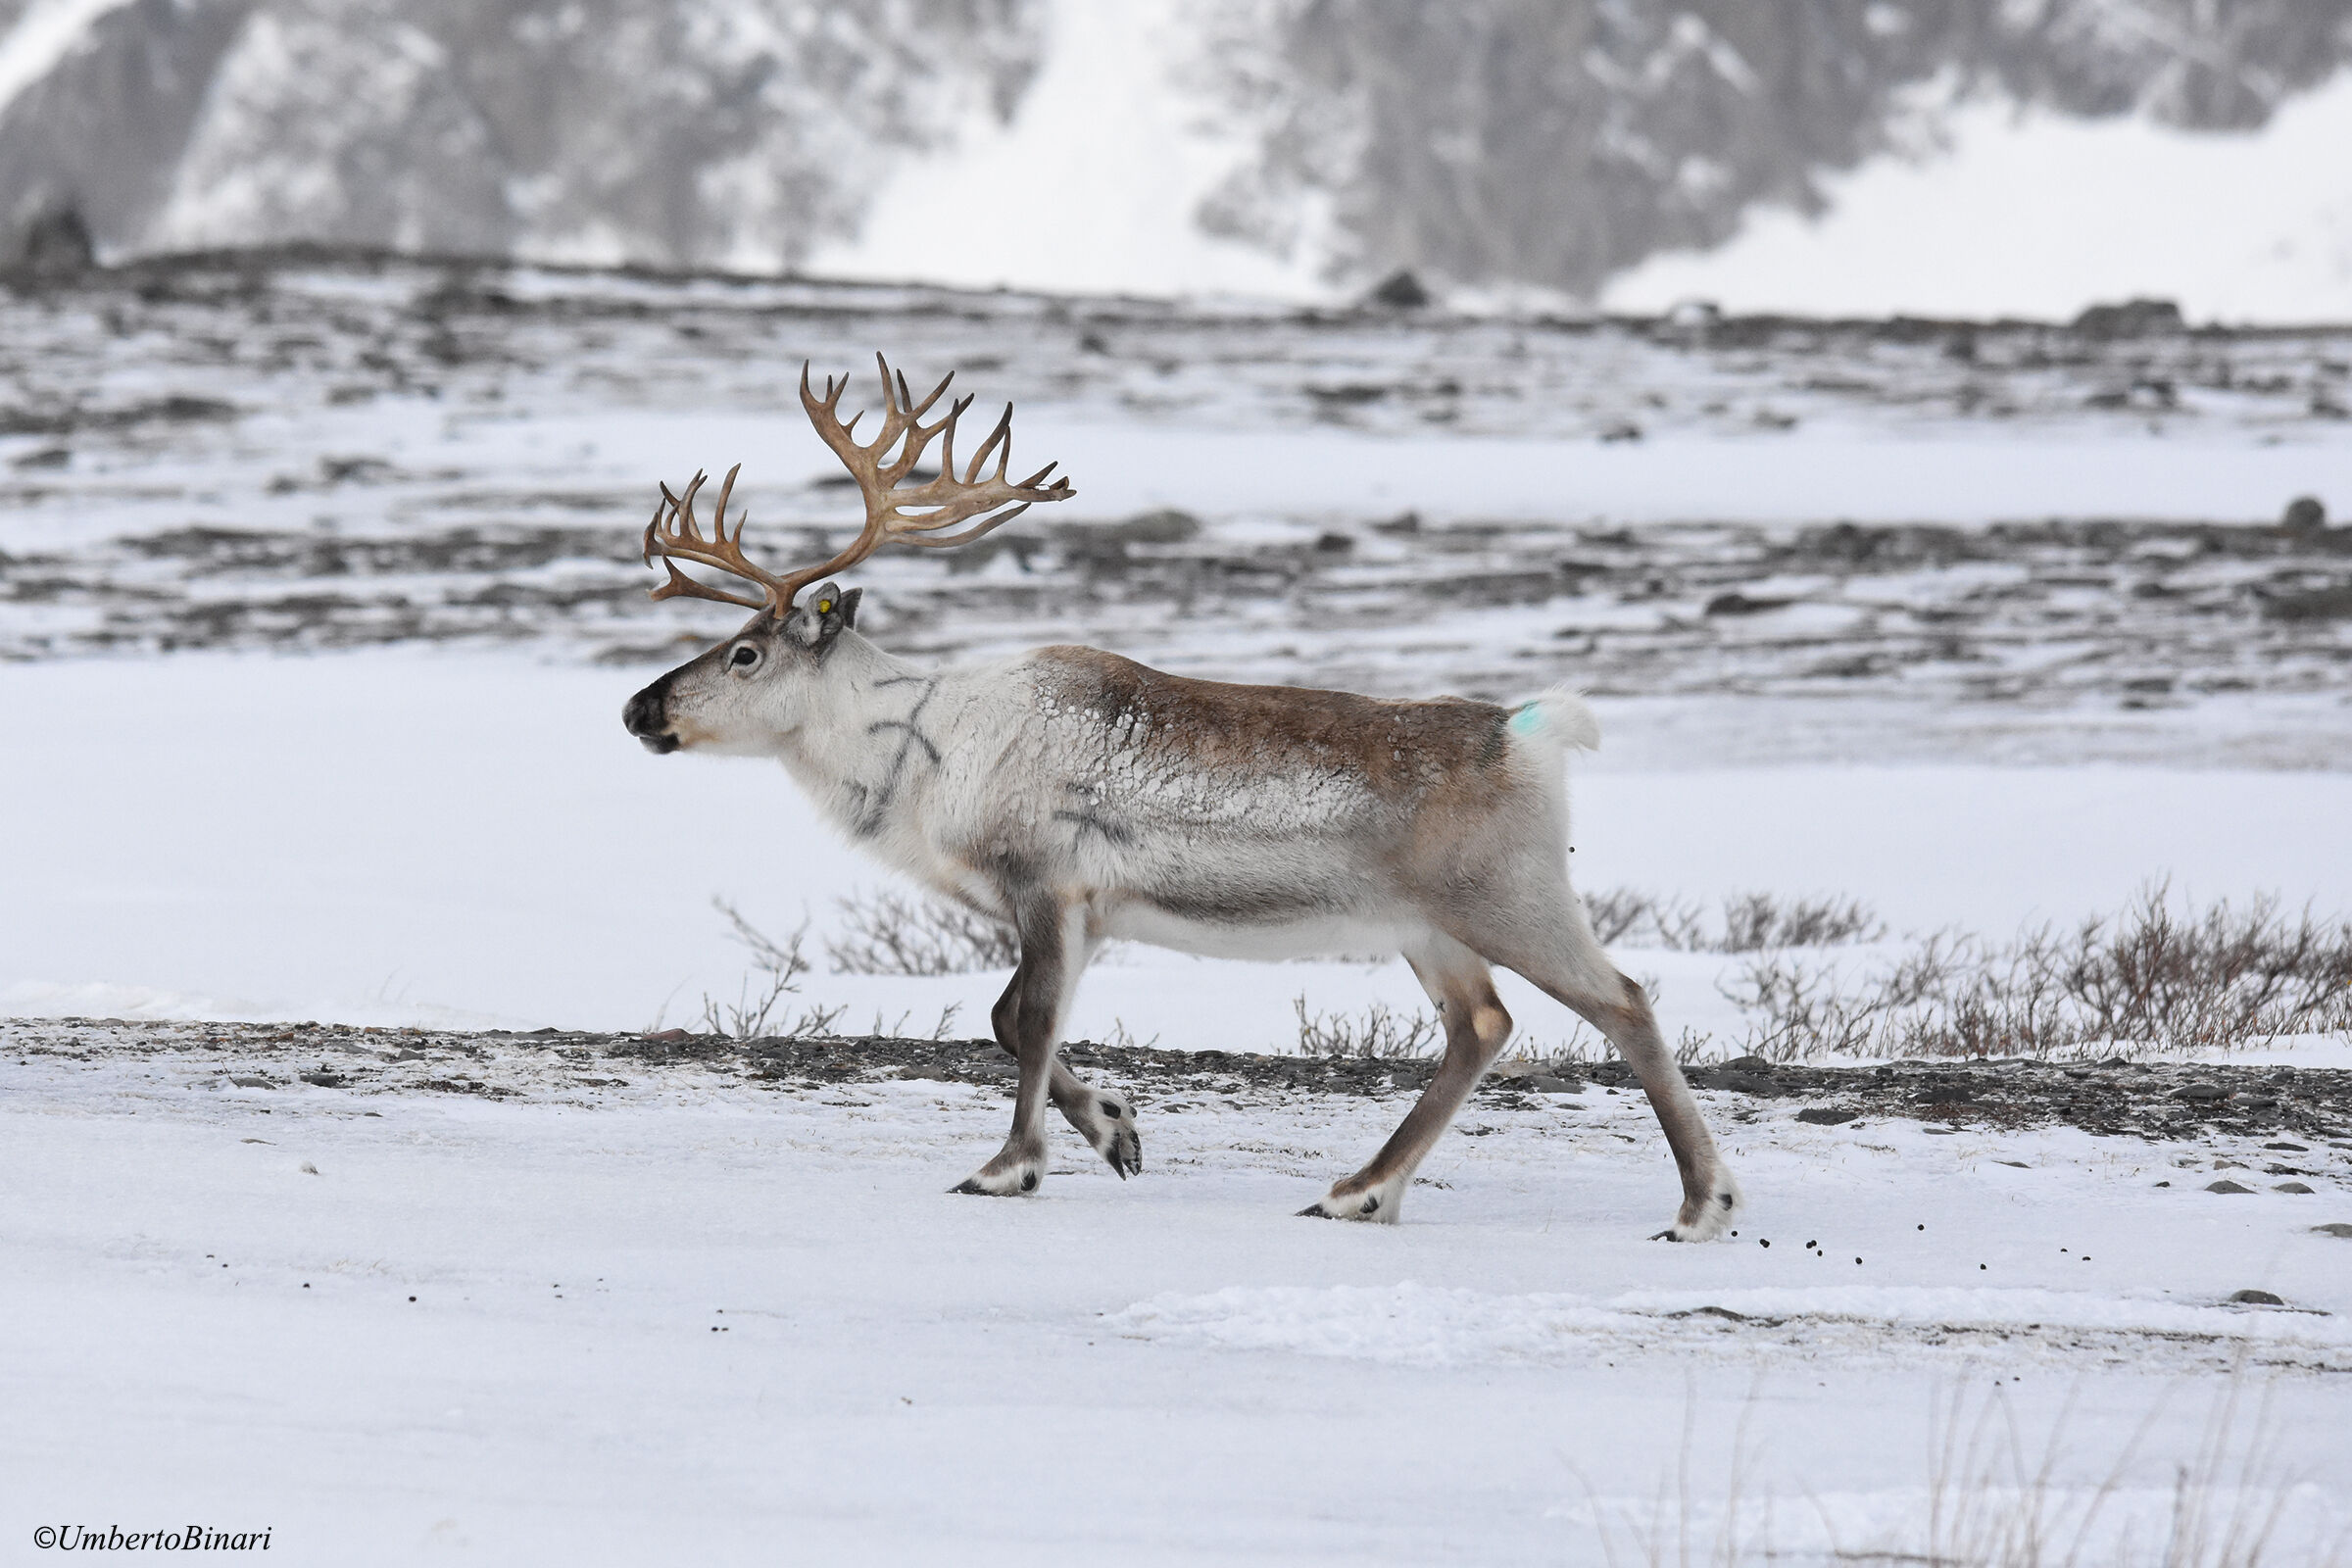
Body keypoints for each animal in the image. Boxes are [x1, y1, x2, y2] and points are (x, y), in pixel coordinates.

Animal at [621, 356, 1742, 1238]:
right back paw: (1359, 1191)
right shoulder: (1081, 911)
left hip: (1508, 898)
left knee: (1624, 1001)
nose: (639, 709)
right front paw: (1115, 1131)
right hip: (1428, 928)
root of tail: (1526, 732)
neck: (918, 753)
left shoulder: (1046, 888)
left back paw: (1702, 1205)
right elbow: (1010, 1020)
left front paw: (1009, 1165)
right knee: (1483, 1025)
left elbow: (1024, 1019)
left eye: (746, 651)